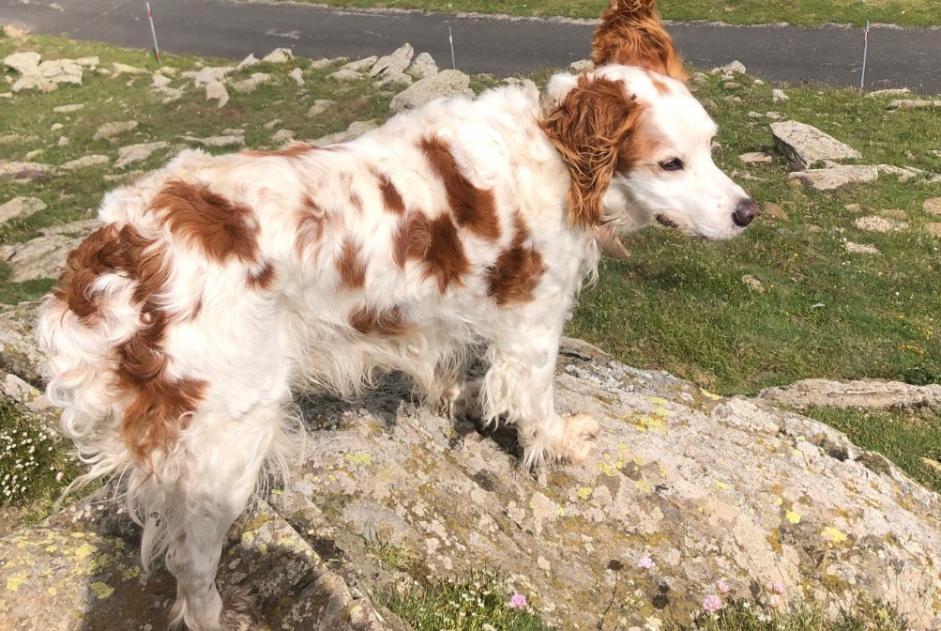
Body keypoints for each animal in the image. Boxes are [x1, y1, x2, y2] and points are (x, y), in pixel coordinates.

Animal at [35, 2, 756, 628]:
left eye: (714, 146)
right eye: (670, 162)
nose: (747, 211)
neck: (559, 156)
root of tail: (116, 248)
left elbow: (449, 365)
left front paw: (458, 399)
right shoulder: (534, 318)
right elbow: (534, 400)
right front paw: (557, 442)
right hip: (229, 433)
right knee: (190, 560)